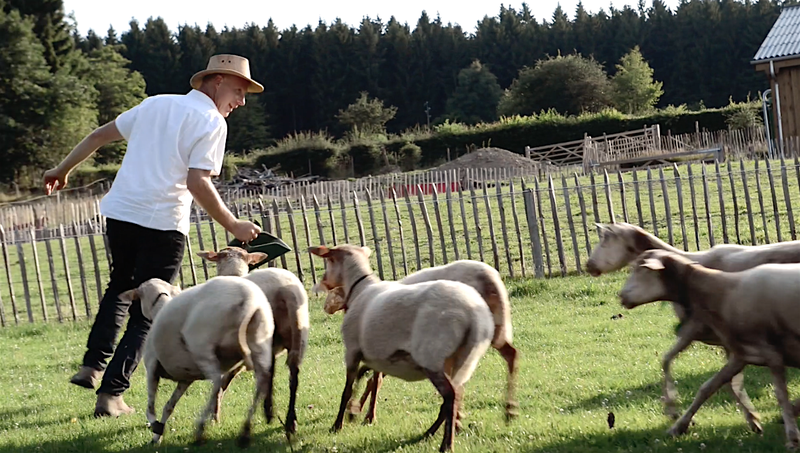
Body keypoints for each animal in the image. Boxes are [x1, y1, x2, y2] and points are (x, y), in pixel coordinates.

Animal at [117, 276, 274, 447]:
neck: (160, 306)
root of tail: (249, 301)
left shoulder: (152, 367)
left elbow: (150, 406)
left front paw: (155, 427)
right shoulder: (186, 378)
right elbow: (169, 407)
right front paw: (158, 434)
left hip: (202, 348)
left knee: (217, 383)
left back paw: (200, 428)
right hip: (260, 344)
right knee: (261, 382)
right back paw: (245, 430)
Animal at [197, 246, 309, 436]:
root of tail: (285, 291)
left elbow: (223, 381)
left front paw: (214, 416)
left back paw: (270, 413)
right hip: (298, 334)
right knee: (293, 375)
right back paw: (289, 421)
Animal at [309, 244, 495, 452]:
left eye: (328, 261)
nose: (322, 282)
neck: (359, 289)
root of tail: (473, 315)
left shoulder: (352, 351)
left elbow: (347, 390)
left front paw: (338, 424)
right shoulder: (376, 356)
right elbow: (370, 381)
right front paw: (356, 412)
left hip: (432, 356)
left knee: (450, 396)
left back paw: (445, 444)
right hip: (462, 359)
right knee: (455, 396)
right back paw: (429, 433)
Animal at [316, 259, 519, 425]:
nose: (325, 307)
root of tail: (491, 278)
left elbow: (374, 379)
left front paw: (362, 414)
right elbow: (373, 378)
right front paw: (360, 411)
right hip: (495, 328)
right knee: (511, 355)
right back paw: (509, 411)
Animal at [618, 249, 800, 449]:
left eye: (641, 270)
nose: (621, 295)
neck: (721, 292)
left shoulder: (772, 354)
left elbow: (781, 395)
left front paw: (792, 436)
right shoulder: (741, 355)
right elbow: (707, 388)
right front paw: (679, 426)